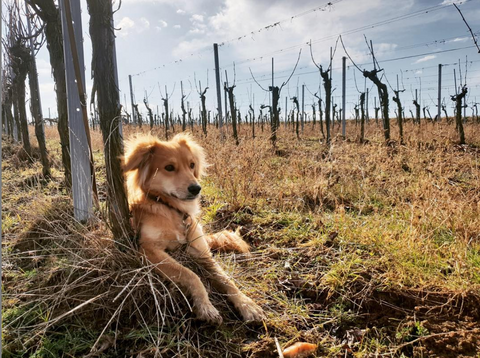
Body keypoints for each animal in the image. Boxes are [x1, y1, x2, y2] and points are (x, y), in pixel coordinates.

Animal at [122, 134, 264, 324]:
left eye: (191, 165)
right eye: (169, 167)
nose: (196, 188)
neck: (172, 209)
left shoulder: (200, 252)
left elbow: (226, 280)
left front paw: (247, 305)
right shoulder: (148, 250)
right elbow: (190, 274)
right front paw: (205, 306)